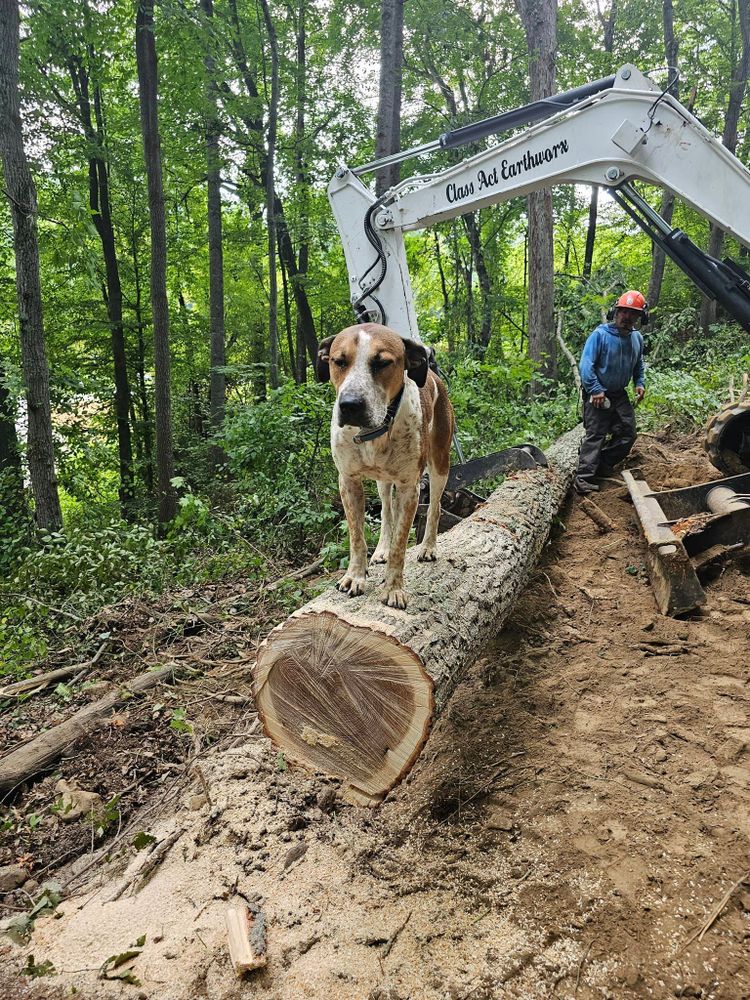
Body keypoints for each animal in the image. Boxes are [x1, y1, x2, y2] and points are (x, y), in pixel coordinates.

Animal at [316, 324, 452, 604]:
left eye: (383, 363)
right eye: (339, 361)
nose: (349, 405)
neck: (373, 433)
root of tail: (434, 376)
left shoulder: (410, 487)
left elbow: (401, 542)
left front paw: (393, 588)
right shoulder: (348, 481)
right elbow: (357, 536)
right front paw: (355, 576)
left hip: (440, 463)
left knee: (435, 506)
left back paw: (428, 546)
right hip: (383, 482)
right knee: (387, 511)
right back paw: (381, 550)